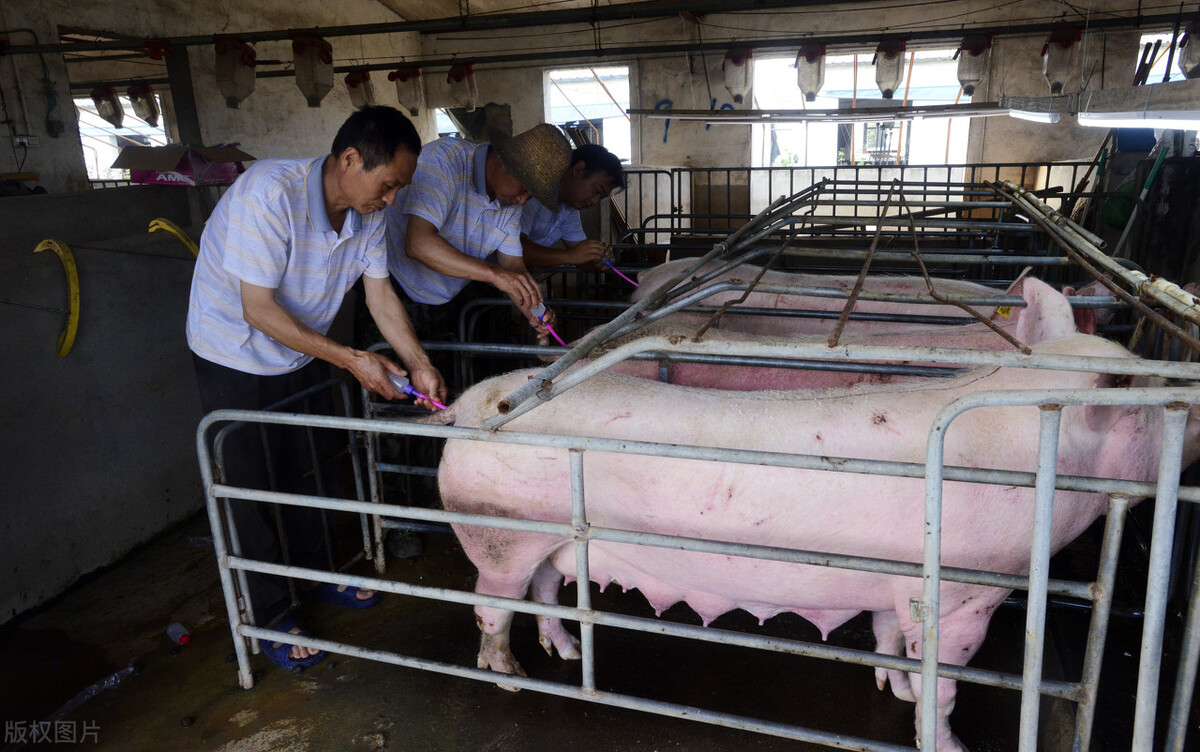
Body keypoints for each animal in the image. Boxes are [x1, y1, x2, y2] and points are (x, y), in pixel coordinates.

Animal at [439, 335, 1200, 752]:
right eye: (1149, 391)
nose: (1193, 397)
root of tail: (464, 409)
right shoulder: (964, 593)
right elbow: (947, 682)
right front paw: (949, 742)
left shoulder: (896, 583)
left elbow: (891, 639)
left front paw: (893, 688)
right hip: (497, 531)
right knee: (490, 606)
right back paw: (509, 676)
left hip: (550, 540)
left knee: (544, 589)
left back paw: (566, 653)